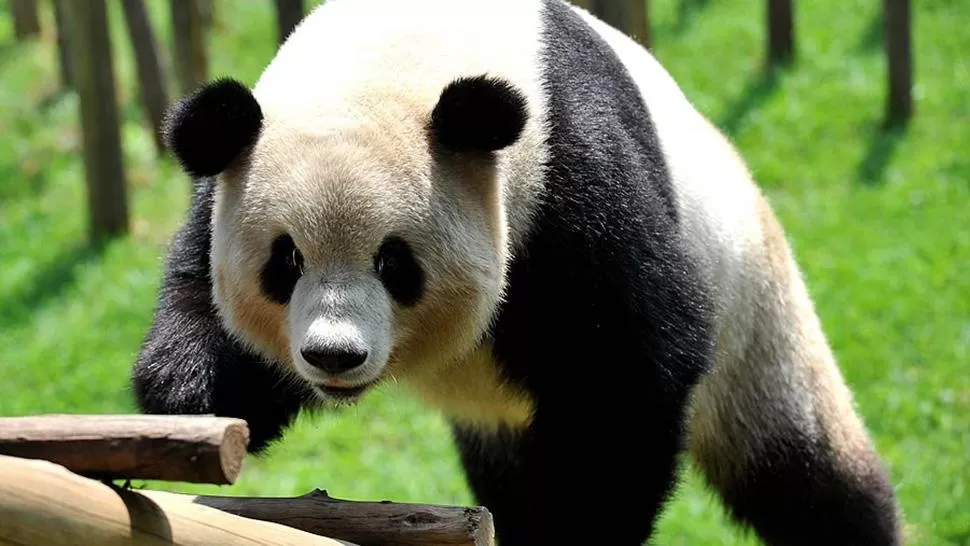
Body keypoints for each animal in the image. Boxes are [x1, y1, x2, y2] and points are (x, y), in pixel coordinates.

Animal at [132, 0, 902, 544]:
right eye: (285, 261)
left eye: (395, 261)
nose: (333, 355)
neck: (390, 50)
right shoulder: (232, 166)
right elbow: (197, 296)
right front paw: (191, 400)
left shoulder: (568, 172)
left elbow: (629, 369)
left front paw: (579, 530)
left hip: (753, 310)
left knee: (805, 474)